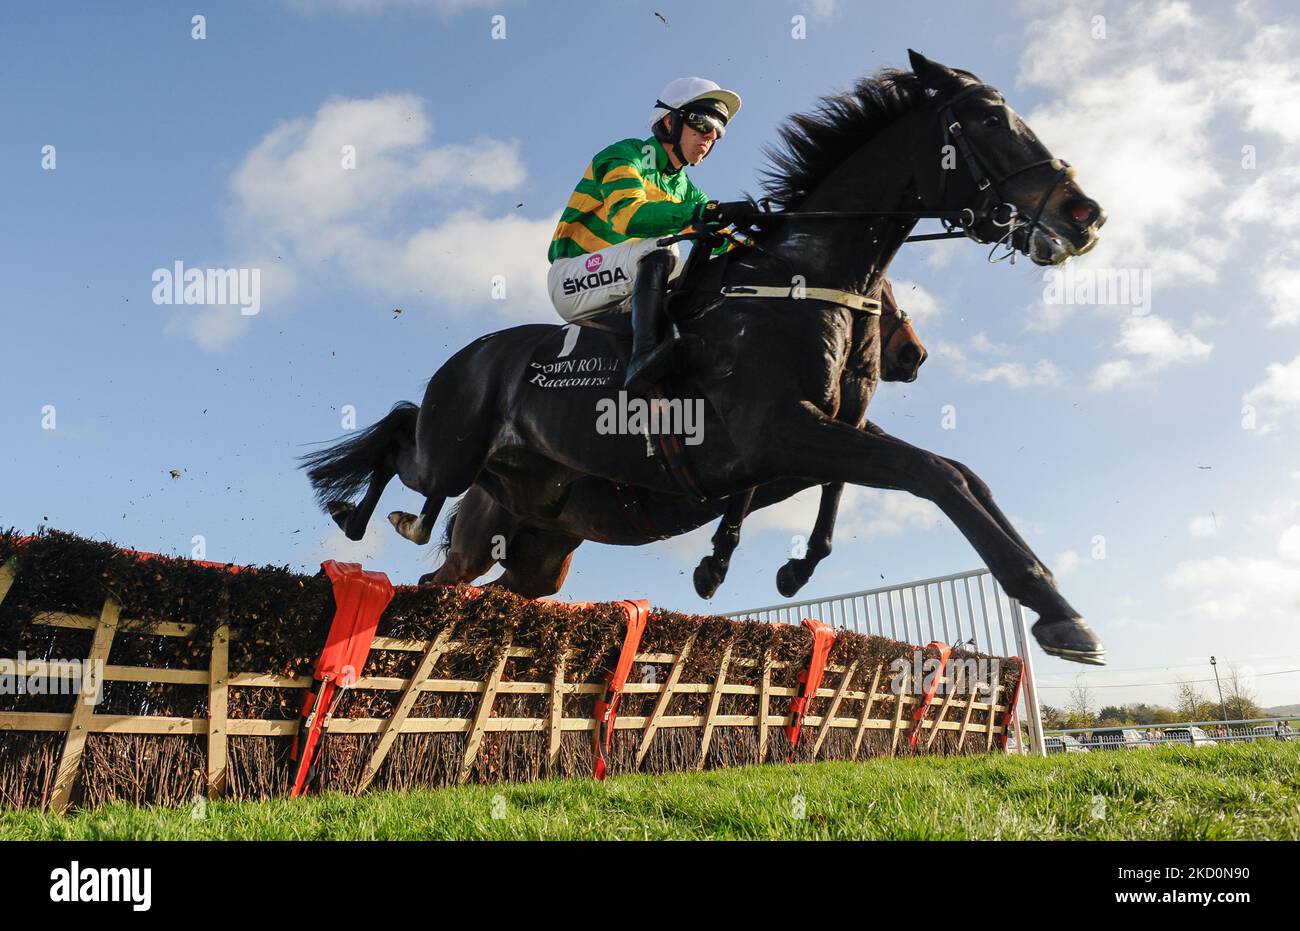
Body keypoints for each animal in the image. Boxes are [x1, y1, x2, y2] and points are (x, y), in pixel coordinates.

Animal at [301, 49, 1107, 663]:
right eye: (990, 119)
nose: (1084, 213)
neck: (796, 278)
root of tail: (466, 359)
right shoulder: (776, 431)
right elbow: (933, 474)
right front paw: (1054, 608)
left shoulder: (814, 431)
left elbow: (950, 475)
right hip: (456, 456)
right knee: (405, 445)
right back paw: (357, 515)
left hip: (539, 546)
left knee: (478, 581)